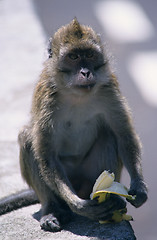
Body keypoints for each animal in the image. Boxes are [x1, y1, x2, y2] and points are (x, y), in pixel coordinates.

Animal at [0, 19, 147, 232]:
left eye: (90, 55)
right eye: (74, 57)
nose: (86, 72)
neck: (77, 94)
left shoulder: (109, 90)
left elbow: (123, 135)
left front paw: (139, 186)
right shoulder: (47, 98)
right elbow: (47, 155)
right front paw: (78, 205)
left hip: (88, 175)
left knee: (108, 136)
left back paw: (112, 201)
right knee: (27, 137)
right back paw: (54, 209)